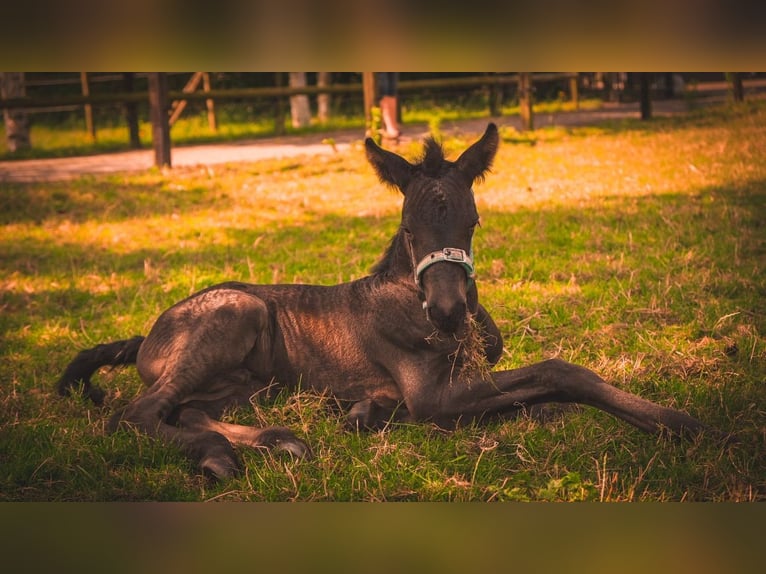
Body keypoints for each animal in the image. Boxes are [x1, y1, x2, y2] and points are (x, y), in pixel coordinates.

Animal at [60, 126, 708, 482]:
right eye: (407, 227)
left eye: (474, 222)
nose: (445, 313)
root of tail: (147, 335)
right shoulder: (432, 395)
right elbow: (560, 372)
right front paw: (679, 422)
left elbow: (543, 397)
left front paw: (364, 412)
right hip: (236, 314)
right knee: (140, 413)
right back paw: (223, 456)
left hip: (247, 382)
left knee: (189, 411)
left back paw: (274, 442)